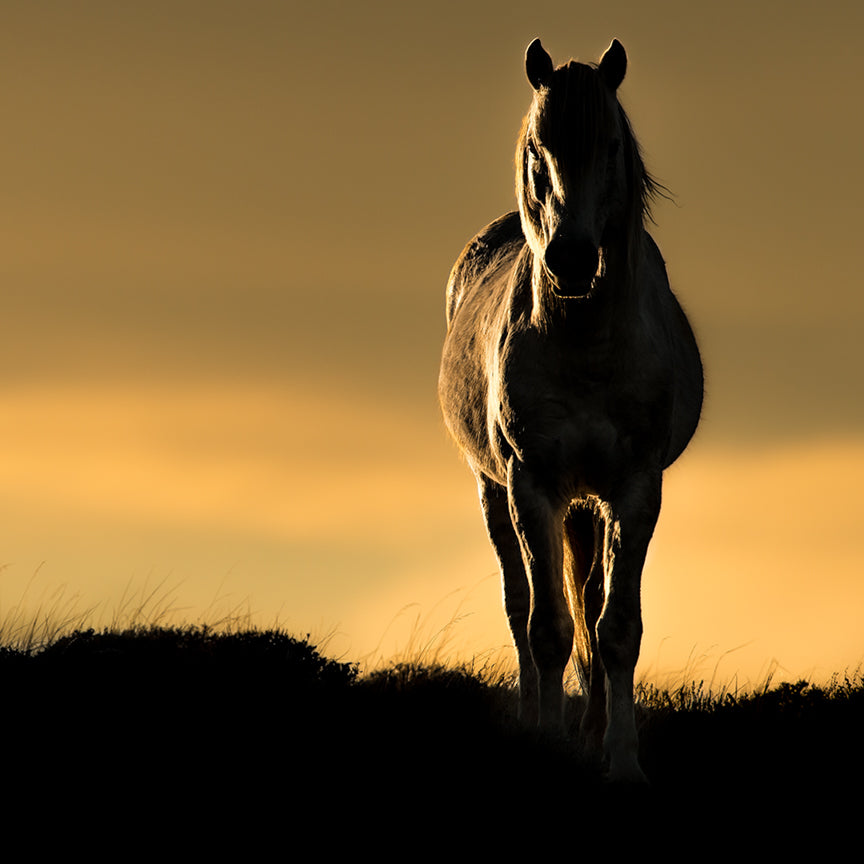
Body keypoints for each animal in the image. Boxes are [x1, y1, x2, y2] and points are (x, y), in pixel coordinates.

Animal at [438, 40, 704, 784]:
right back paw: (541, 718)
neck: (586, 342)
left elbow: (615, 629)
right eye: (538, 146)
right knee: (521, 604)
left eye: (610, 144)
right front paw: (547, 746)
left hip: (590, 503)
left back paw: (591, 729)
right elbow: (547, 628)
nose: (574, 260)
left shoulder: (635, 490)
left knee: (587, 595)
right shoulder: (532, 484)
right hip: (494, 490)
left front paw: (622, 760)